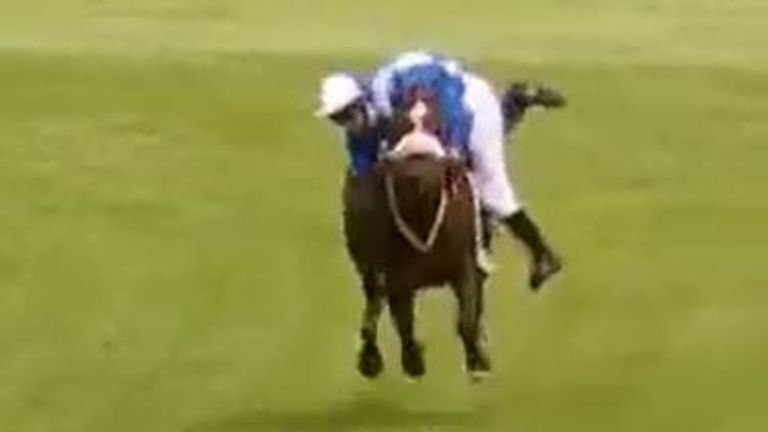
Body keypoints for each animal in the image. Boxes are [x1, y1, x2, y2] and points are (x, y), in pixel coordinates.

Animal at [342, 97, 492, 378]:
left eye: (438, 128)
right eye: (395, 127)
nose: (418, 171)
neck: (422, 217)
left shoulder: (464, 264)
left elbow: (467, 317)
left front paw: (478, 362)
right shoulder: (396, 277)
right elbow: (401, 321)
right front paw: (411, 361)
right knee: (372, 305)